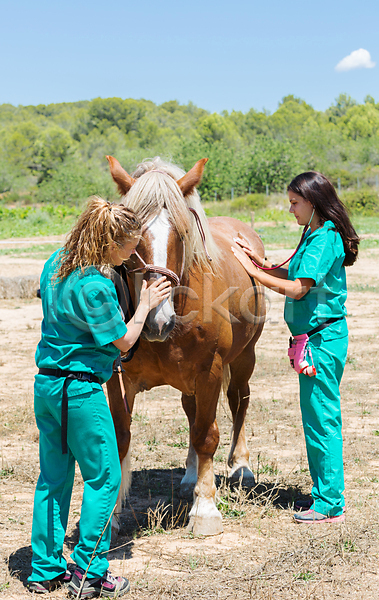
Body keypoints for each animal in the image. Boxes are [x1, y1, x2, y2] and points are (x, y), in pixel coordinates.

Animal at [106, 155, 268, 536]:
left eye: (181, 233)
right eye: (129, 235)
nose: (157, 319)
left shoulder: (210, 371)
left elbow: (207, 435)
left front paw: (205, 509)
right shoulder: (117, 379)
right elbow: (121, 437)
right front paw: (108, 517)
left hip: (244, 360)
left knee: (238, 401)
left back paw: (241, 467)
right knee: (192, 413)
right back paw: (191, 476)